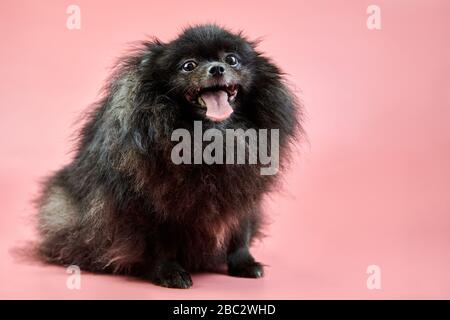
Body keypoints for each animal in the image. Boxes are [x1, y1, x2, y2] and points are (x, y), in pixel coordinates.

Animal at [36, 23, 302, 286]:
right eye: (188, 65)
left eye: (232, 60)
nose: (217, 68)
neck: (210, 137)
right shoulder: (151, 204)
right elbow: (161, 243)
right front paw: (170, 272)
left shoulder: (243, 194)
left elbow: (240, 234)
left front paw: (244, 263)